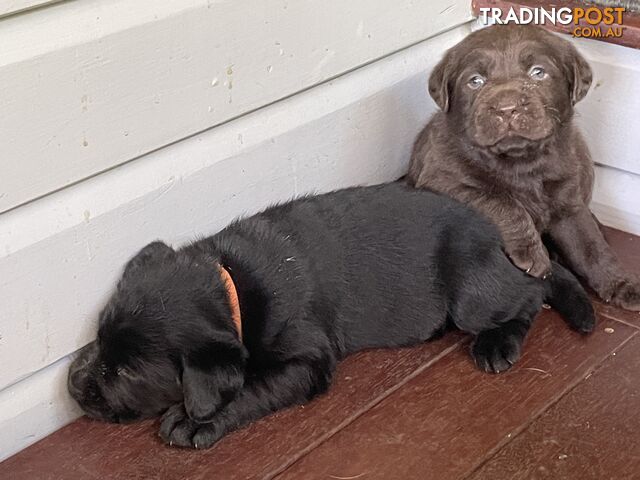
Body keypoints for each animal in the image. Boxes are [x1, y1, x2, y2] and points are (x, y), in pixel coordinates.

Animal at [67, 182, 592, 448]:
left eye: (127, 372)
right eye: (98, 337)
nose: (72, 384)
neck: (231, 282)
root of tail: (496, 236)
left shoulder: (306, 359)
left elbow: (252, 386)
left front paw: (197, 421)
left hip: (471, 293)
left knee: (531, 292)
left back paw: (499, 343)